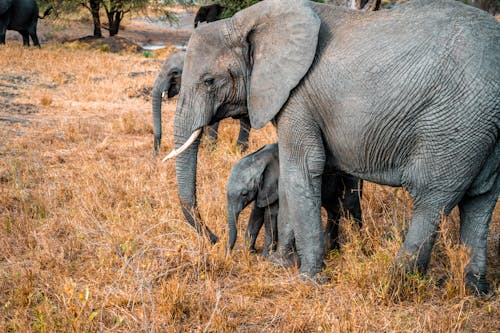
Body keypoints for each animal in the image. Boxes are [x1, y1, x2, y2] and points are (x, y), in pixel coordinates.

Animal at [228, 141, 364, 255]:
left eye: (244, 194)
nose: (228, 254)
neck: (260, 158)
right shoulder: (264, 190)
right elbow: (256, 214)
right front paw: (248, 252)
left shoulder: (278, 184)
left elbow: (270, 215)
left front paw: (265, 256)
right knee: (333, 209)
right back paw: (332, 249)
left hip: (349, 176)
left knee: (351, 204)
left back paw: (359, 244)